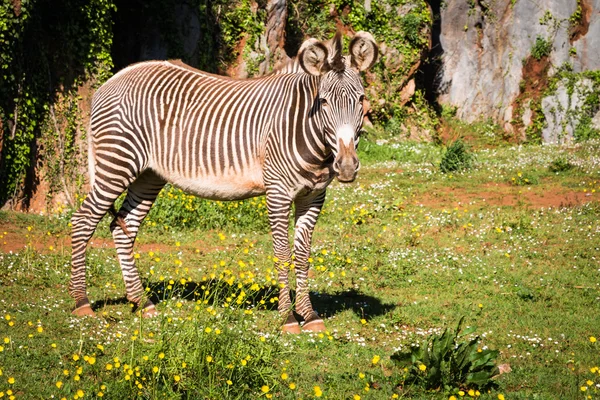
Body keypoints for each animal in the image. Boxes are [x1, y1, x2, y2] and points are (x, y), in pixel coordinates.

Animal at [70, 31, 378, 332]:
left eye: (361, 99)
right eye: (323, 102)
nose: (346, 166)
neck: (304, 127)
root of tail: (113, 79)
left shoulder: (313, 196)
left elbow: (302, 255)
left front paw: (309, 314)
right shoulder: (278, 192)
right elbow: (282, 252)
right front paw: (288, 318)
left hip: (148, 175)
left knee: (123, 227)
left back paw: (141, 301)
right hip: (116, 163)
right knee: (82, 220)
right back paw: (81, 303)